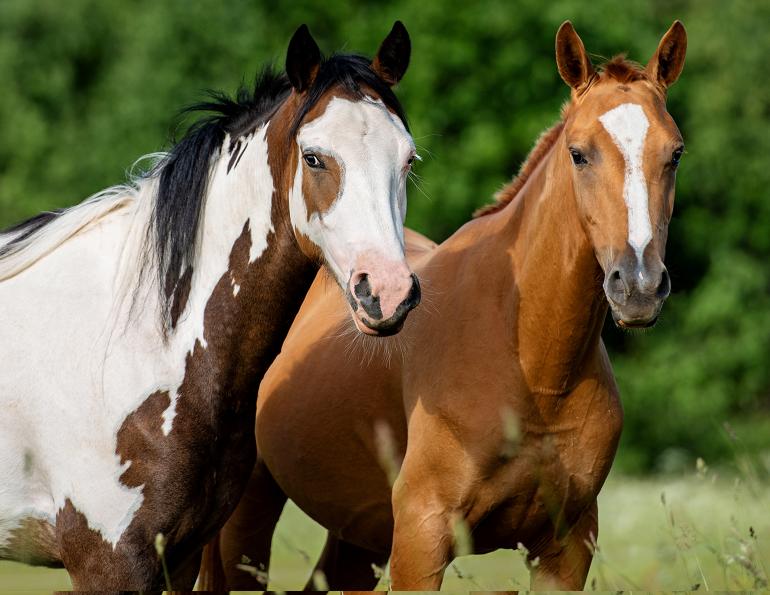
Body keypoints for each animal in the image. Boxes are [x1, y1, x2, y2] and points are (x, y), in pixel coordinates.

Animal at [0, 22, 420, 590]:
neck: (137, 344)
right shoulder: (108, 562)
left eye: (408, 160)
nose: (387, 292)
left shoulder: (179, 556)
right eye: (314, 157)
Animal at [201, 21, 688, 591]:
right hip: (249, 516)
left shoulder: (566, 549)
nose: (638, 285)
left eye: (674, 154)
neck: (531, 364)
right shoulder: (422, 537)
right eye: (579, 153)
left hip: (357, 536)